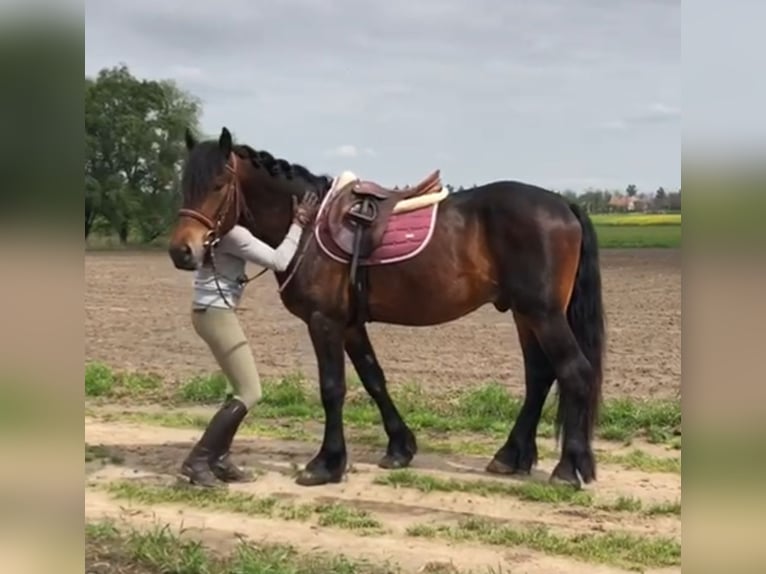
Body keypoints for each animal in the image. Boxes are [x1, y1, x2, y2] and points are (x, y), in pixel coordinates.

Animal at [168, 128, 608, 492]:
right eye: (184, 186)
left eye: (218, 184)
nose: (181, 251)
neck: (307, 232)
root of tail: (564, 205)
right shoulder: (349, 325)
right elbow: (373, 379)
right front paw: (399, 448)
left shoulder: (324, 322)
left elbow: (333, 388)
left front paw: (325, 464)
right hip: (524, 314)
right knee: (540, 376)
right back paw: (511, 457)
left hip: (543, 313)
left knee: (574, 372)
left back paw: (567, 469)